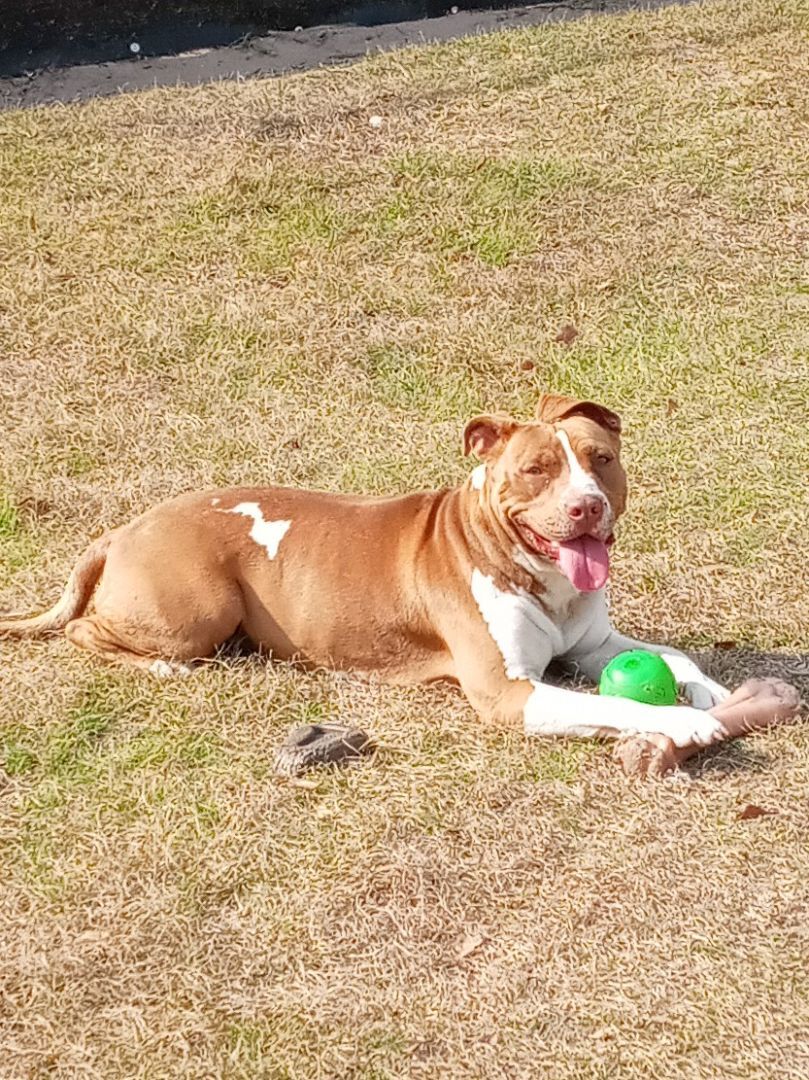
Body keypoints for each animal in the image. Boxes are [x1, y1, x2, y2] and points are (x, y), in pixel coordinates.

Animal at [0, 393, 734, 756]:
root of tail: (122, 530)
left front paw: (712, 692)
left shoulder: (593, 644)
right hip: (198, 609)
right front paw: (680, 723)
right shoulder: (508, 692)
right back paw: (161, 666)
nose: (587, 505)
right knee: (86, 632)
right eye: (535, 470)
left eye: (600, 458)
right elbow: (610, 703)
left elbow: (671, 653)